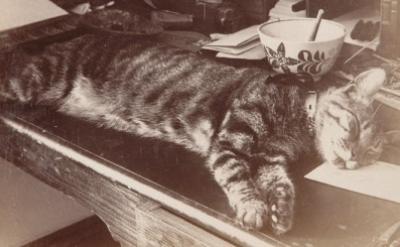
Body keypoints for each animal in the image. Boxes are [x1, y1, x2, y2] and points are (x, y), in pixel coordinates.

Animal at [0, 34, 388, 233]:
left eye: (371, 154)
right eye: (354, 127)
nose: (353, 160)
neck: (296, 123)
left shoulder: (269, 160)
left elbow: (282, 184)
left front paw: (282, 210)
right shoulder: (231, 139)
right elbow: (238, 179)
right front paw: (253, 207)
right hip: (31, 82)